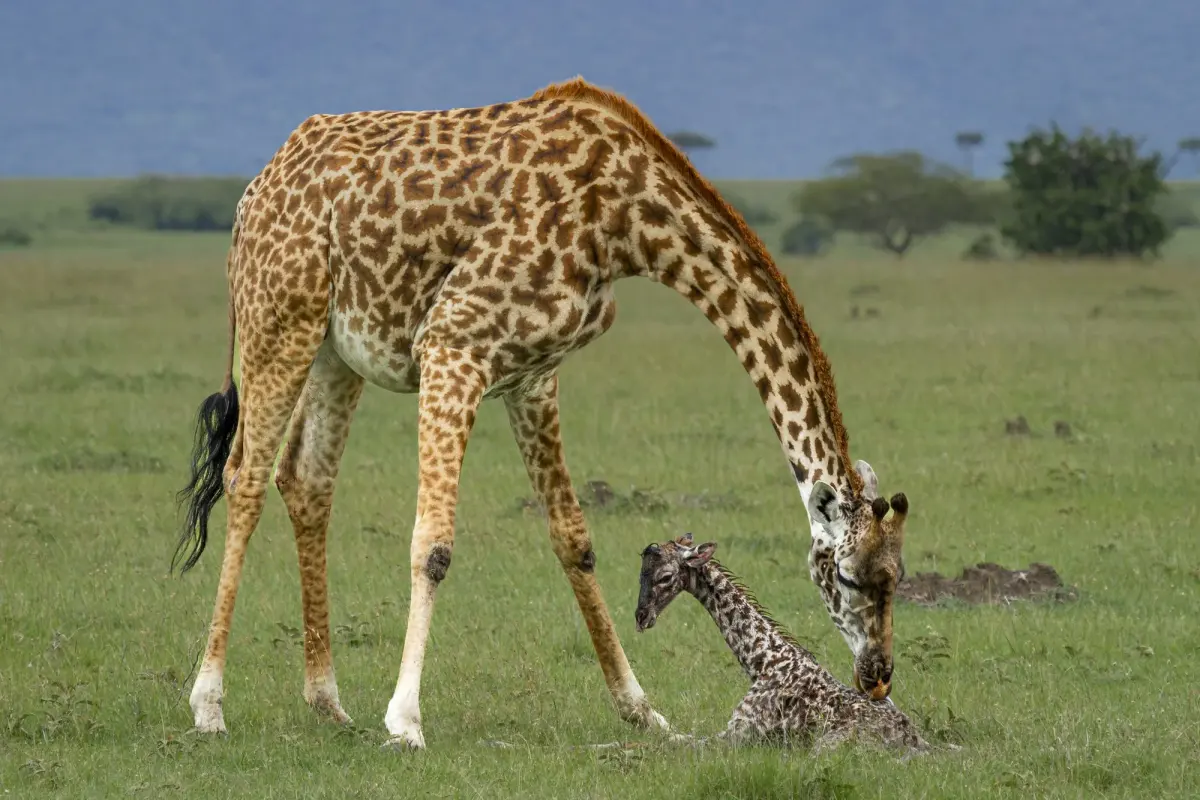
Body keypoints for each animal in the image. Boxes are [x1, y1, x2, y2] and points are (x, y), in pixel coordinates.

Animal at [633, 532, 929, 756]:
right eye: (641, 574)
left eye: (665, 577)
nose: (641, 617)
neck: (763, 660)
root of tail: (914, 740)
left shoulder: (737, 735)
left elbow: (673, 744)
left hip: (824, 746)